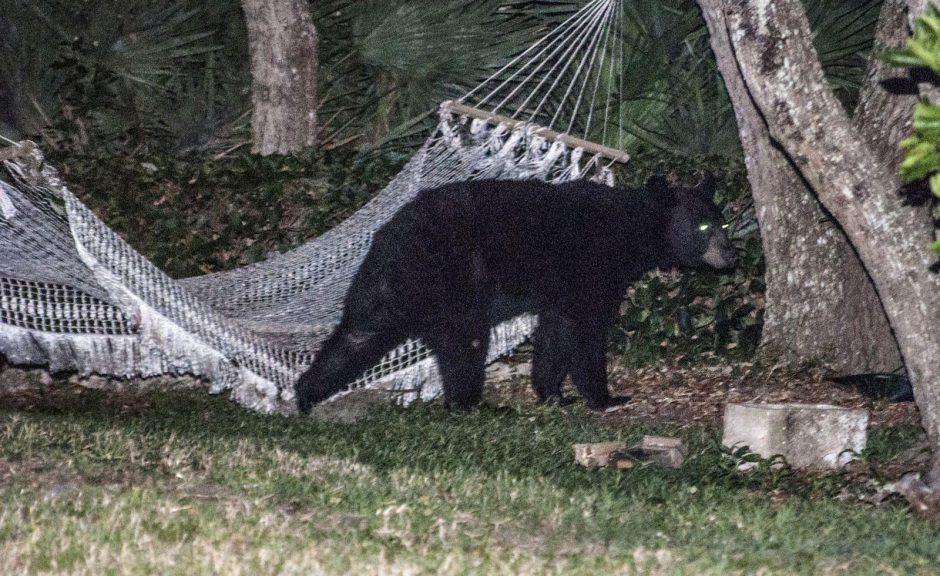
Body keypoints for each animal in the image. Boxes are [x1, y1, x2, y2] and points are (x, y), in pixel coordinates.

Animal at [298, 178, 740, 412]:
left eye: (722, 222)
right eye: (703, 228)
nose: (731, 255)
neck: (633, 228)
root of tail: (389, 237)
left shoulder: (562, 291)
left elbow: (555, 333)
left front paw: (553, 394)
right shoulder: (591, 271)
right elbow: (585, 334)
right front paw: (606, 397)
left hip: (384, 290)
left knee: (356, 336)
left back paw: (305, 396)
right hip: (454, 282)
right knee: (465, 344)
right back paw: (474, 404)